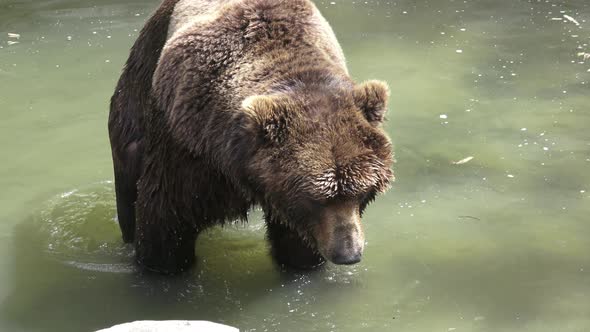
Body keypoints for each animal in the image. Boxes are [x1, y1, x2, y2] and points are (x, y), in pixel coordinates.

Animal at [108, 0, 396, 274]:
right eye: (318, 199)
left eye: (362, 191)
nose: (349, 254)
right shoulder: (185, 147)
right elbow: (165, 220)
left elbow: (296, 246)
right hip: (138, 91)